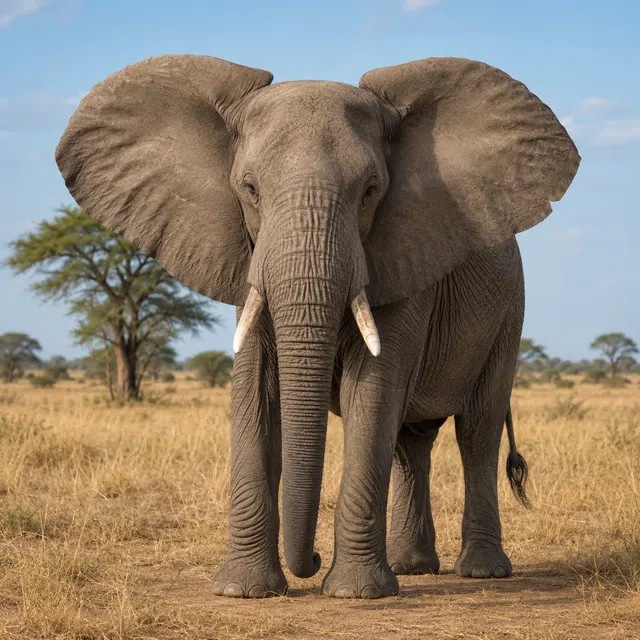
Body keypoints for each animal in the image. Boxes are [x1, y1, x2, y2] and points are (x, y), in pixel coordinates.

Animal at [54, 54, 580, 600]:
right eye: (249, 189)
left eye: (370, 191)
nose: (312, 558)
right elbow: (257, 389)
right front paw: (244, 591)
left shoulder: (404, 256)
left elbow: (371, 391)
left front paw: (355, 593)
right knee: (410, 444)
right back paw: (413, 566)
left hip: (510, 311)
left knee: (477, 429)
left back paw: (481, 571)